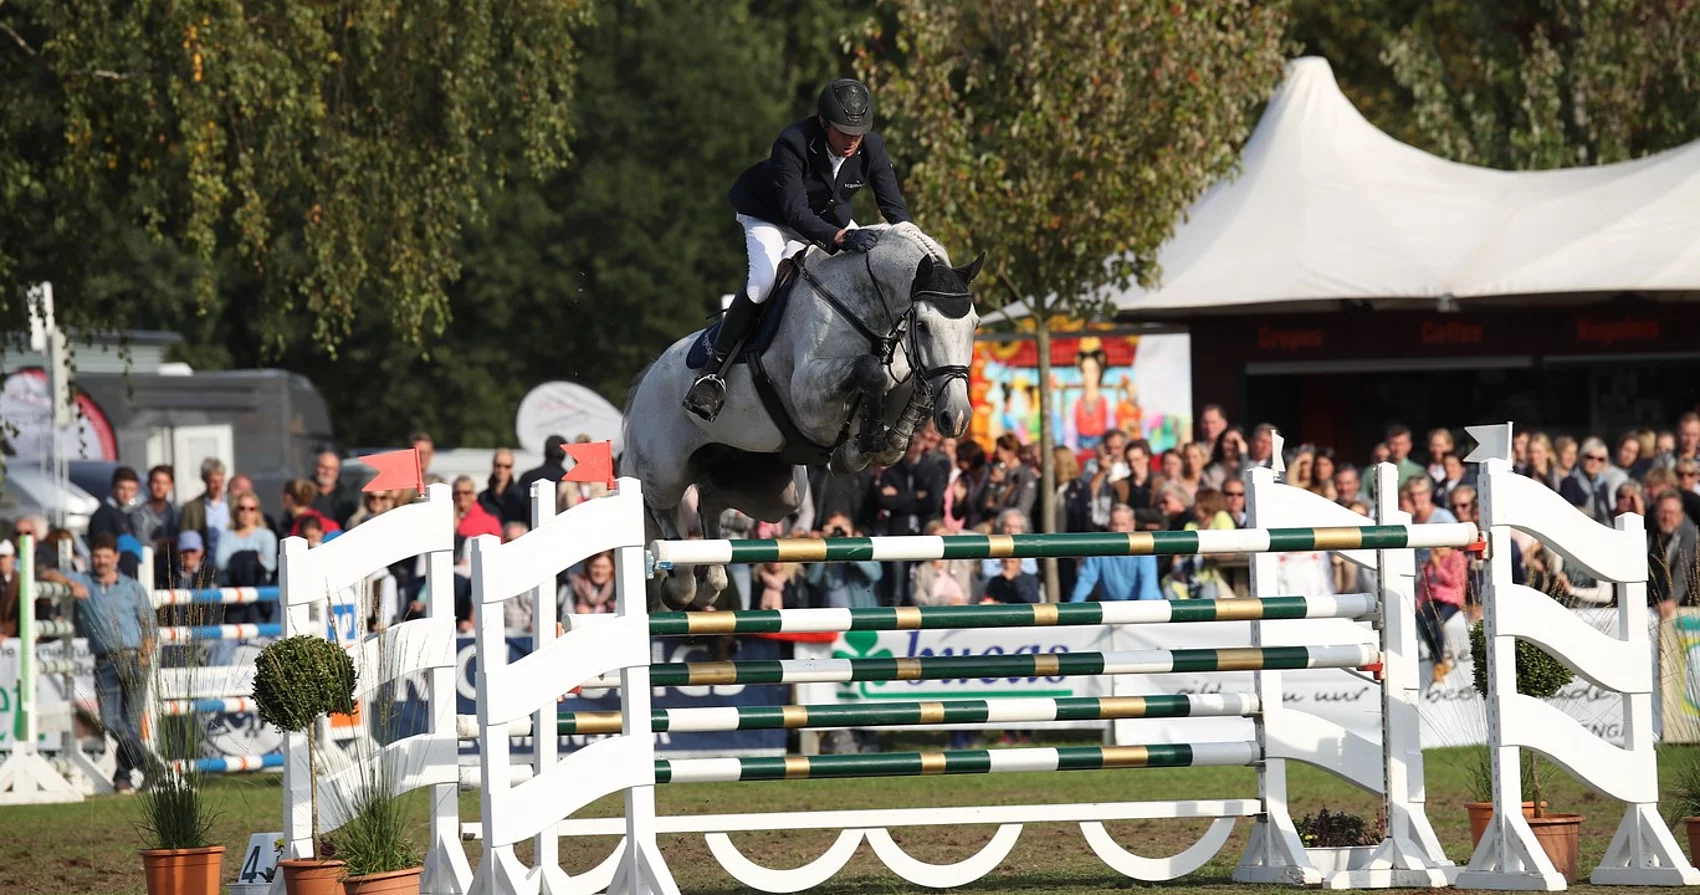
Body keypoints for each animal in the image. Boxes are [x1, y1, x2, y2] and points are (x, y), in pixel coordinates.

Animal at [621, 221, 983, 611]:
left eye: (975, 325)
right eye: (925, 326)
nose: (957, 416)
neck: (866, 310)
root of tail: (647, 377)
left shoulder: (900, 378)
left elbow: (903, 388)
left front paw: (883, 444)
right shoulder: (808, 396)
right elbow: (870, 372)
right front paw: (861, 447)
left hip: (773, 491)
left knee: (710, 500)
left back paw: (711, 582)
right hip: (664, 469)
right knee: (663, 510)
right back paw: (682, 585)